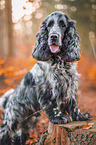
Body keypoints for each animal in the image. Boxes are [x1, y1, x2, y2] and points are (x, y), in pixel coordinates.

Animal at [0, 11, 92, 145]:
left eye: (63, 25)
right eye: (49, 25)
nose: (53, 36)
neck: (59, 61)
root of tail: (8, 99)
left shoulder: (70, 86)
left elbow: (74, 104)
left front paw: (80, 116)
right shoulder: (47, 88)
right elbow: (52, 104)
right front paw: (59, 117)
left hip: (28, 123)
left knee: (19, 136)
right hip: (12, 119)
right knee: (5, 133)